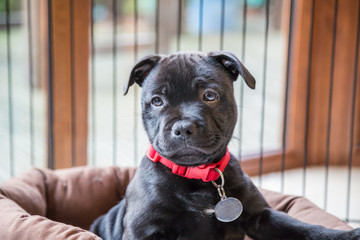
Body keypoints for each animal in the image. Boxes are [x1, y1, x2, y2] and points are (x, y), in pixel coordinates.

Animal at [90, 51, 360, 239]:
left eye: (210, 96)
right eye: (157, 101)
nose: (183, 127)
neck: (199, 174)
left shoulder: (260, 216)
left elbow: (302, 227)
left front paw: (345, 234)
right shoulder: (144, 229)